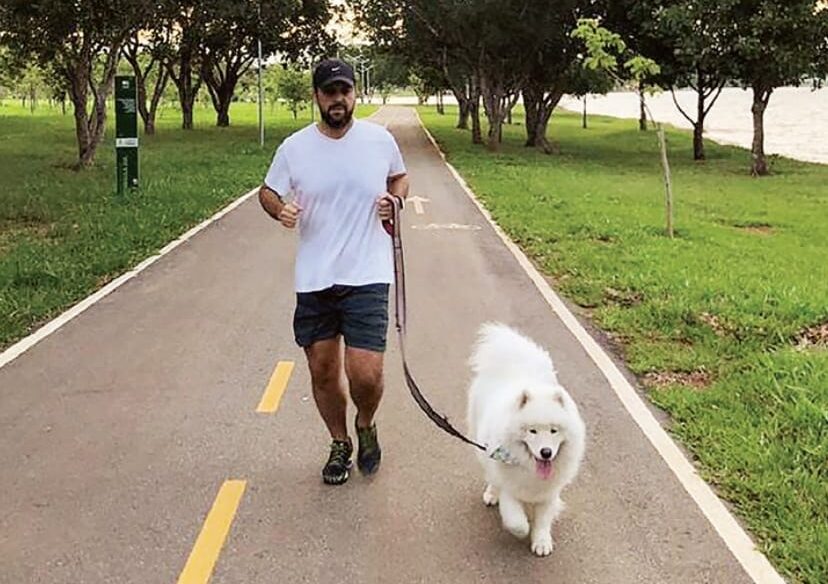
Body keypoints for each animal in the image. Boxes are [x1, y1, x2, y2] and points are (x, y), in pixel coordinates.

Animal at [466, 324, 588, 556]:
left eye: (554, 431)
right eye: (532, 431)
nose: (546, 452)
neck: (532, 470)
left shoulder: (549, 493)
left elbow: (543, 520)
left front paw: (541, 542)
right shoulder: (510, 488)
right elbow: (516, 521)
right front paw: (523, 529)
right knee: (491, 477)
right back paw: (491, 494)